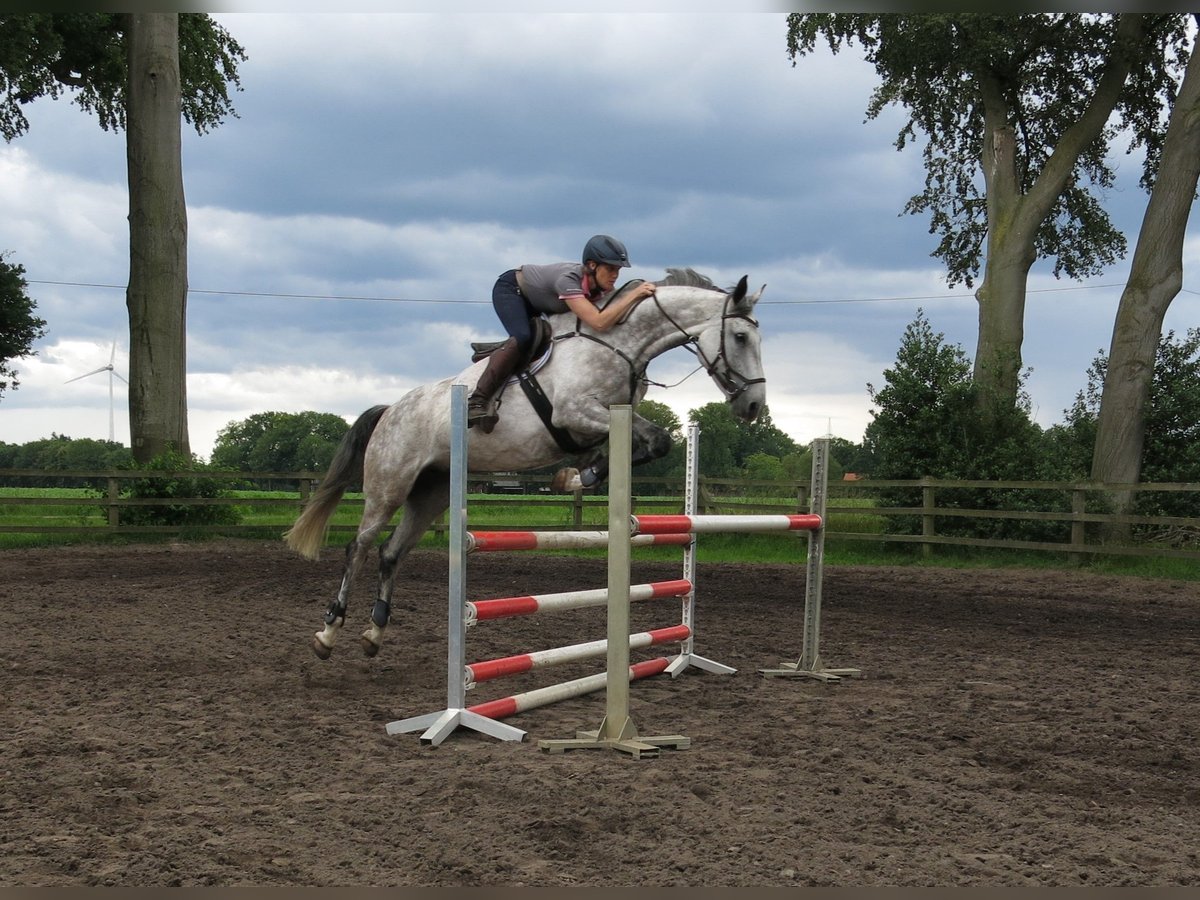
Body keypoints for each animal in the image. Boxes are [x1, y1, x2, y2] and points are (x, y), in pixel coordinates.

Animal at [285, 271, 763, 657]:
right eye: (741, 338)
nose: (755, 406)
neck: (619, 344)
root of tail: (390, 410)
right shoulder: (573, 413)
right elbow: (638, 441)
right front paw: (578, 475)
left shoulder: (609, 419)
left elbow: (654, 442)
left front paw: (578, 475)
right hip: (390, 484)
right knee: (360, 547)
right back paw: (328, 633)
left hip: (432, 493)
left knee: (390, 553)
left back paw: (374, 633)